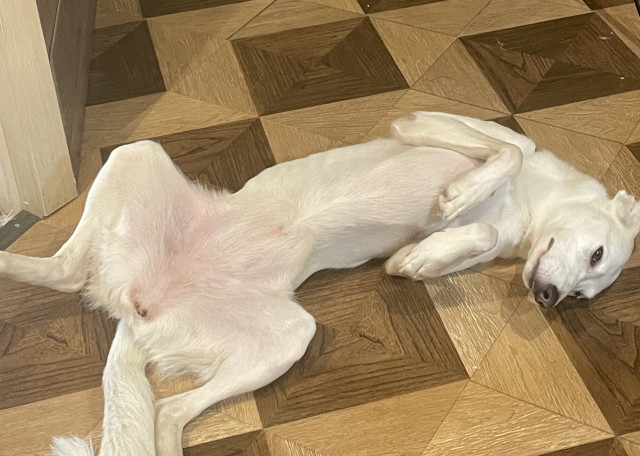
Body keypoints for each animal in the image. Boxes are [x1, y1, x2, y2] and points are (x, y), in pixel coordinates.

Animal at [0, 112, 637, 456]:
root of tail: (140, 304)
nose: (550, 299)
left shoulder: (474, 237)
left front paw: (426, 257)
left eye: (585, 294)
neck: (527, 205)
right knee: (66, 269)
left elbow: (464, 236)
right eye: (597, 252)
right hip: (139, 152)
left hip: (289, 337)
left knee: (164, 409)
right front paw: (459, 196)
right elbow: (505, 151)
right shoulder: (432, 124)